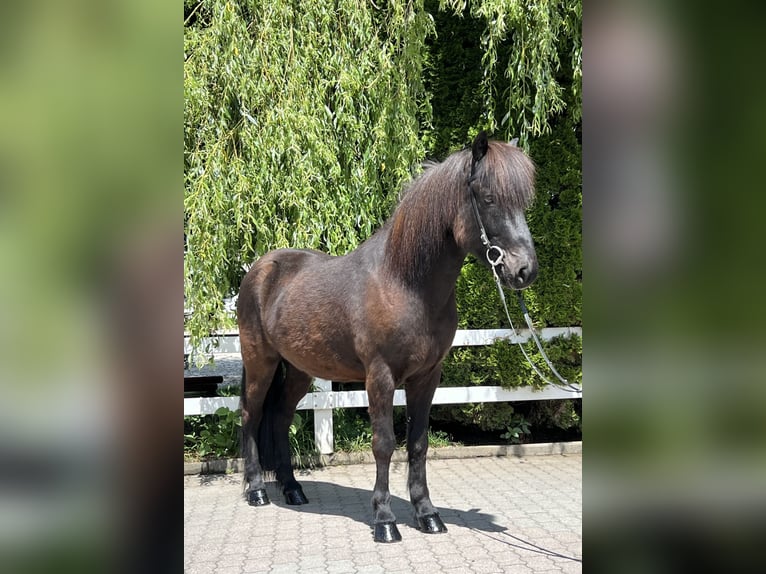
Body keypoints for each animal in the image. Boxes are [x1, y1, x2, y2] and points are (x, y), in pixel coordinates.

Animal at [237, 134, 536, 544]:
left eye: (524, 203)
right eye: (489, 198)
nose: (524, 271)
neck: (403, 283)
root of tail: (260, 269)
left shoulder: (427, 377)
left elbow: (418, 443)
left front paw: (428, 514)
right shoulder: (379, 377)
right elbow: (384, 444)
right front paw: (385, 521)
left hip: (299, 369)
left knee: (280, 417)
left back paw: (294, 489)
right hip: (260, 362)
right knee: (250, 415)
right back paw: (256, 491)